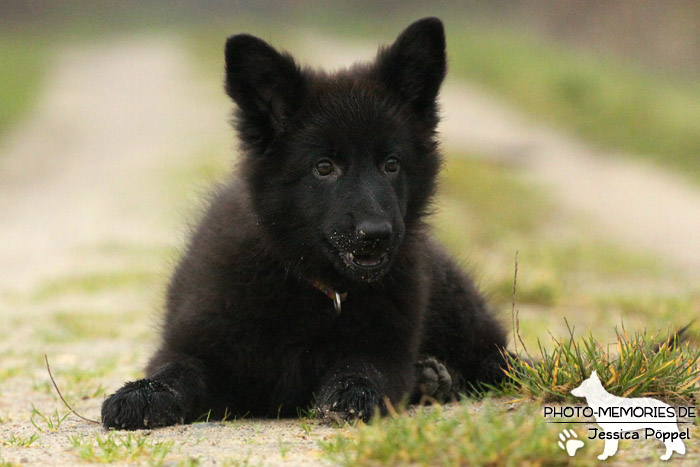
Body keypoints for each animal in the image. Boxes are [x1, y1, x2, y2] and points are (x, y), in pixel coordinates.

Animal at [101, 16, 508, 430]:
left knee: (496, 357)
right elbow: (176, 369)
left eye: (391, 164)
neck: (314, 286)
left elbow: (363, 368)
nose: (377, 235)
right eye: (324, 167)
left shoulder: (388, 352)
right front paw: (142, 394)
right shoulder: (195, 343)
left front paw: (351, 393)